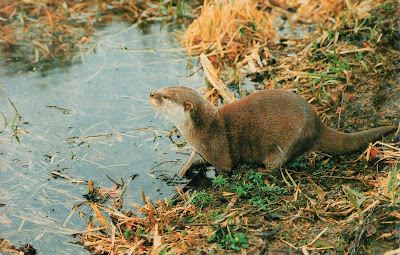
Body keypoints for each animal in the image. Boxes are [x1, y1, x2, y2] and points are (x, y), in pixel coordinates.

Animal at [149, 86, 396, 176]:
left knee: (277, 165)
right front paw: (180, 173)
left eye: (166, 96)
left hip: (288, 142)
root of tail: (317, 124)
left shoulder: (216, 148)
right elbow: (192, 159)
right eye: (163, 88)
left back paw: (260, 170)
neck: (203, 128)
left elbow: (225, 168)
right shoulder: (198, 148)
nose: (152, 93)